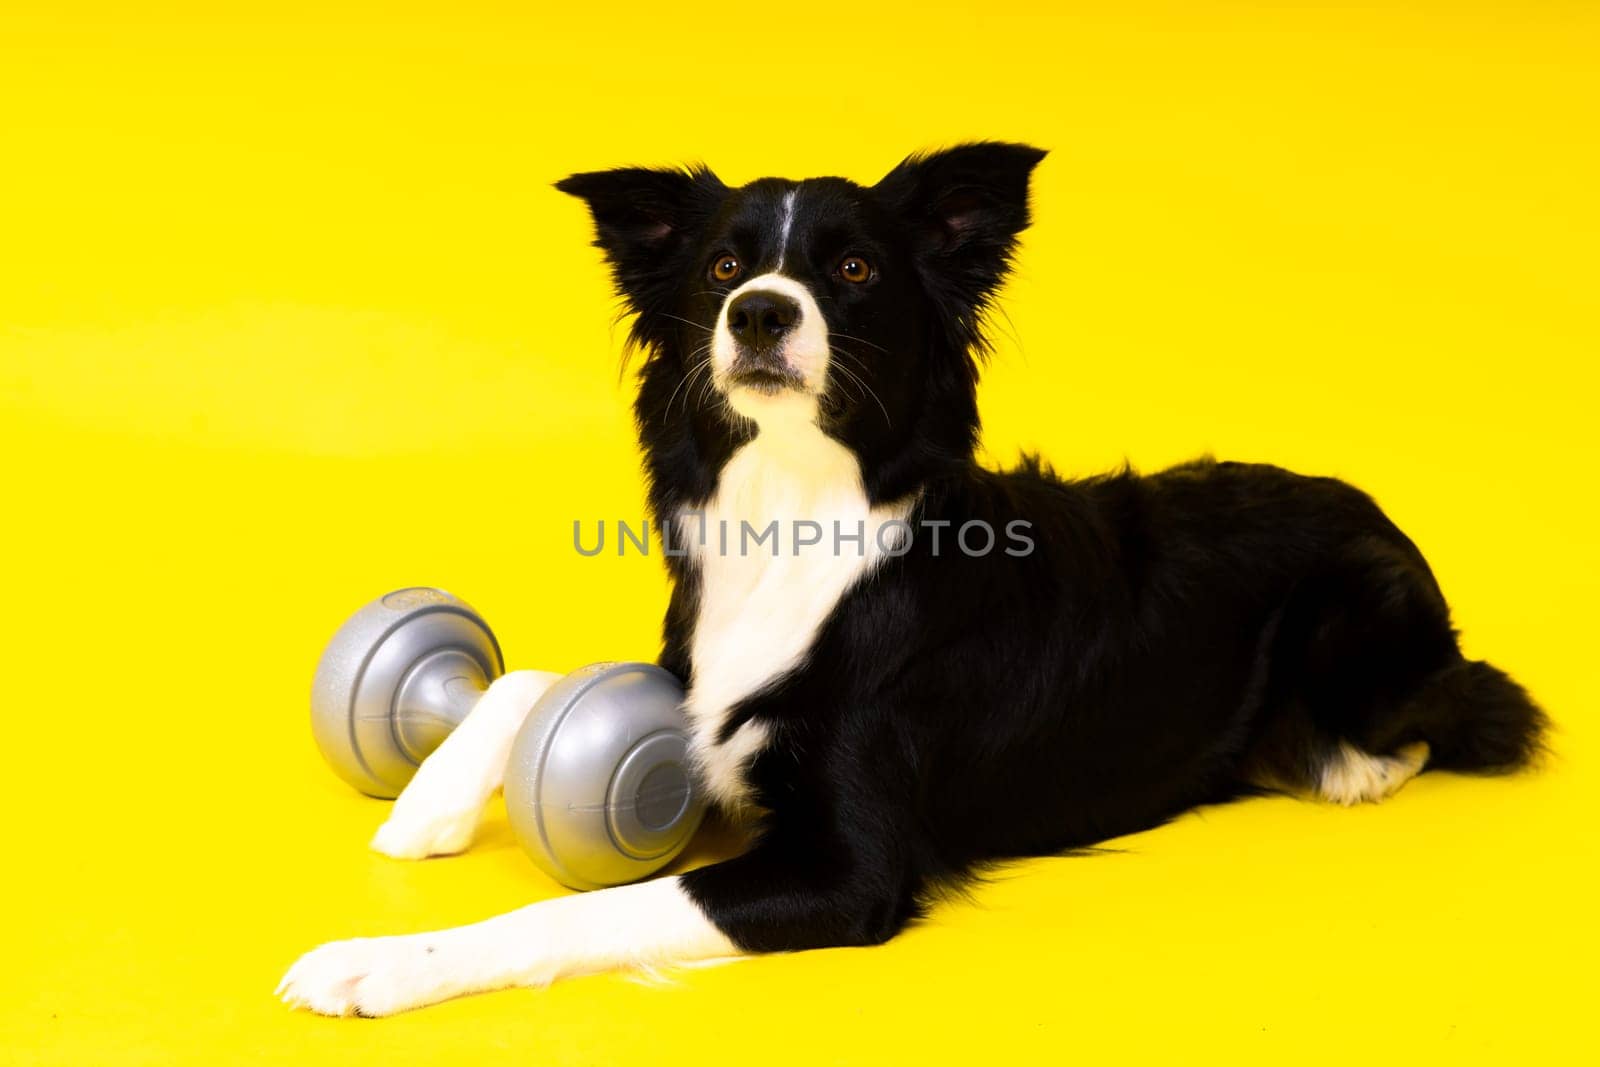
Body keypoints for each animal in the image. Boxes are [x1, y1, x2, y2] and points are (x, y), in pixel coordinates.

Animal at [281, 143, 1542, 1017]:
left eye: (851, 267)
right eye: (724, 266)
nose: (759, 311)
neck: (797, 512)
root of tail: (1366, 503)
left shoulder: (845, 869)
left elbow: (573, 909)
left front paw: (376, 959)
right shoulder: (702, 675)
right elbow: (533, 674)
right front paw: (428, 803)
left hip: (1358, 620)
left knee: (1472, 701)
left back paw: (1343, 760)